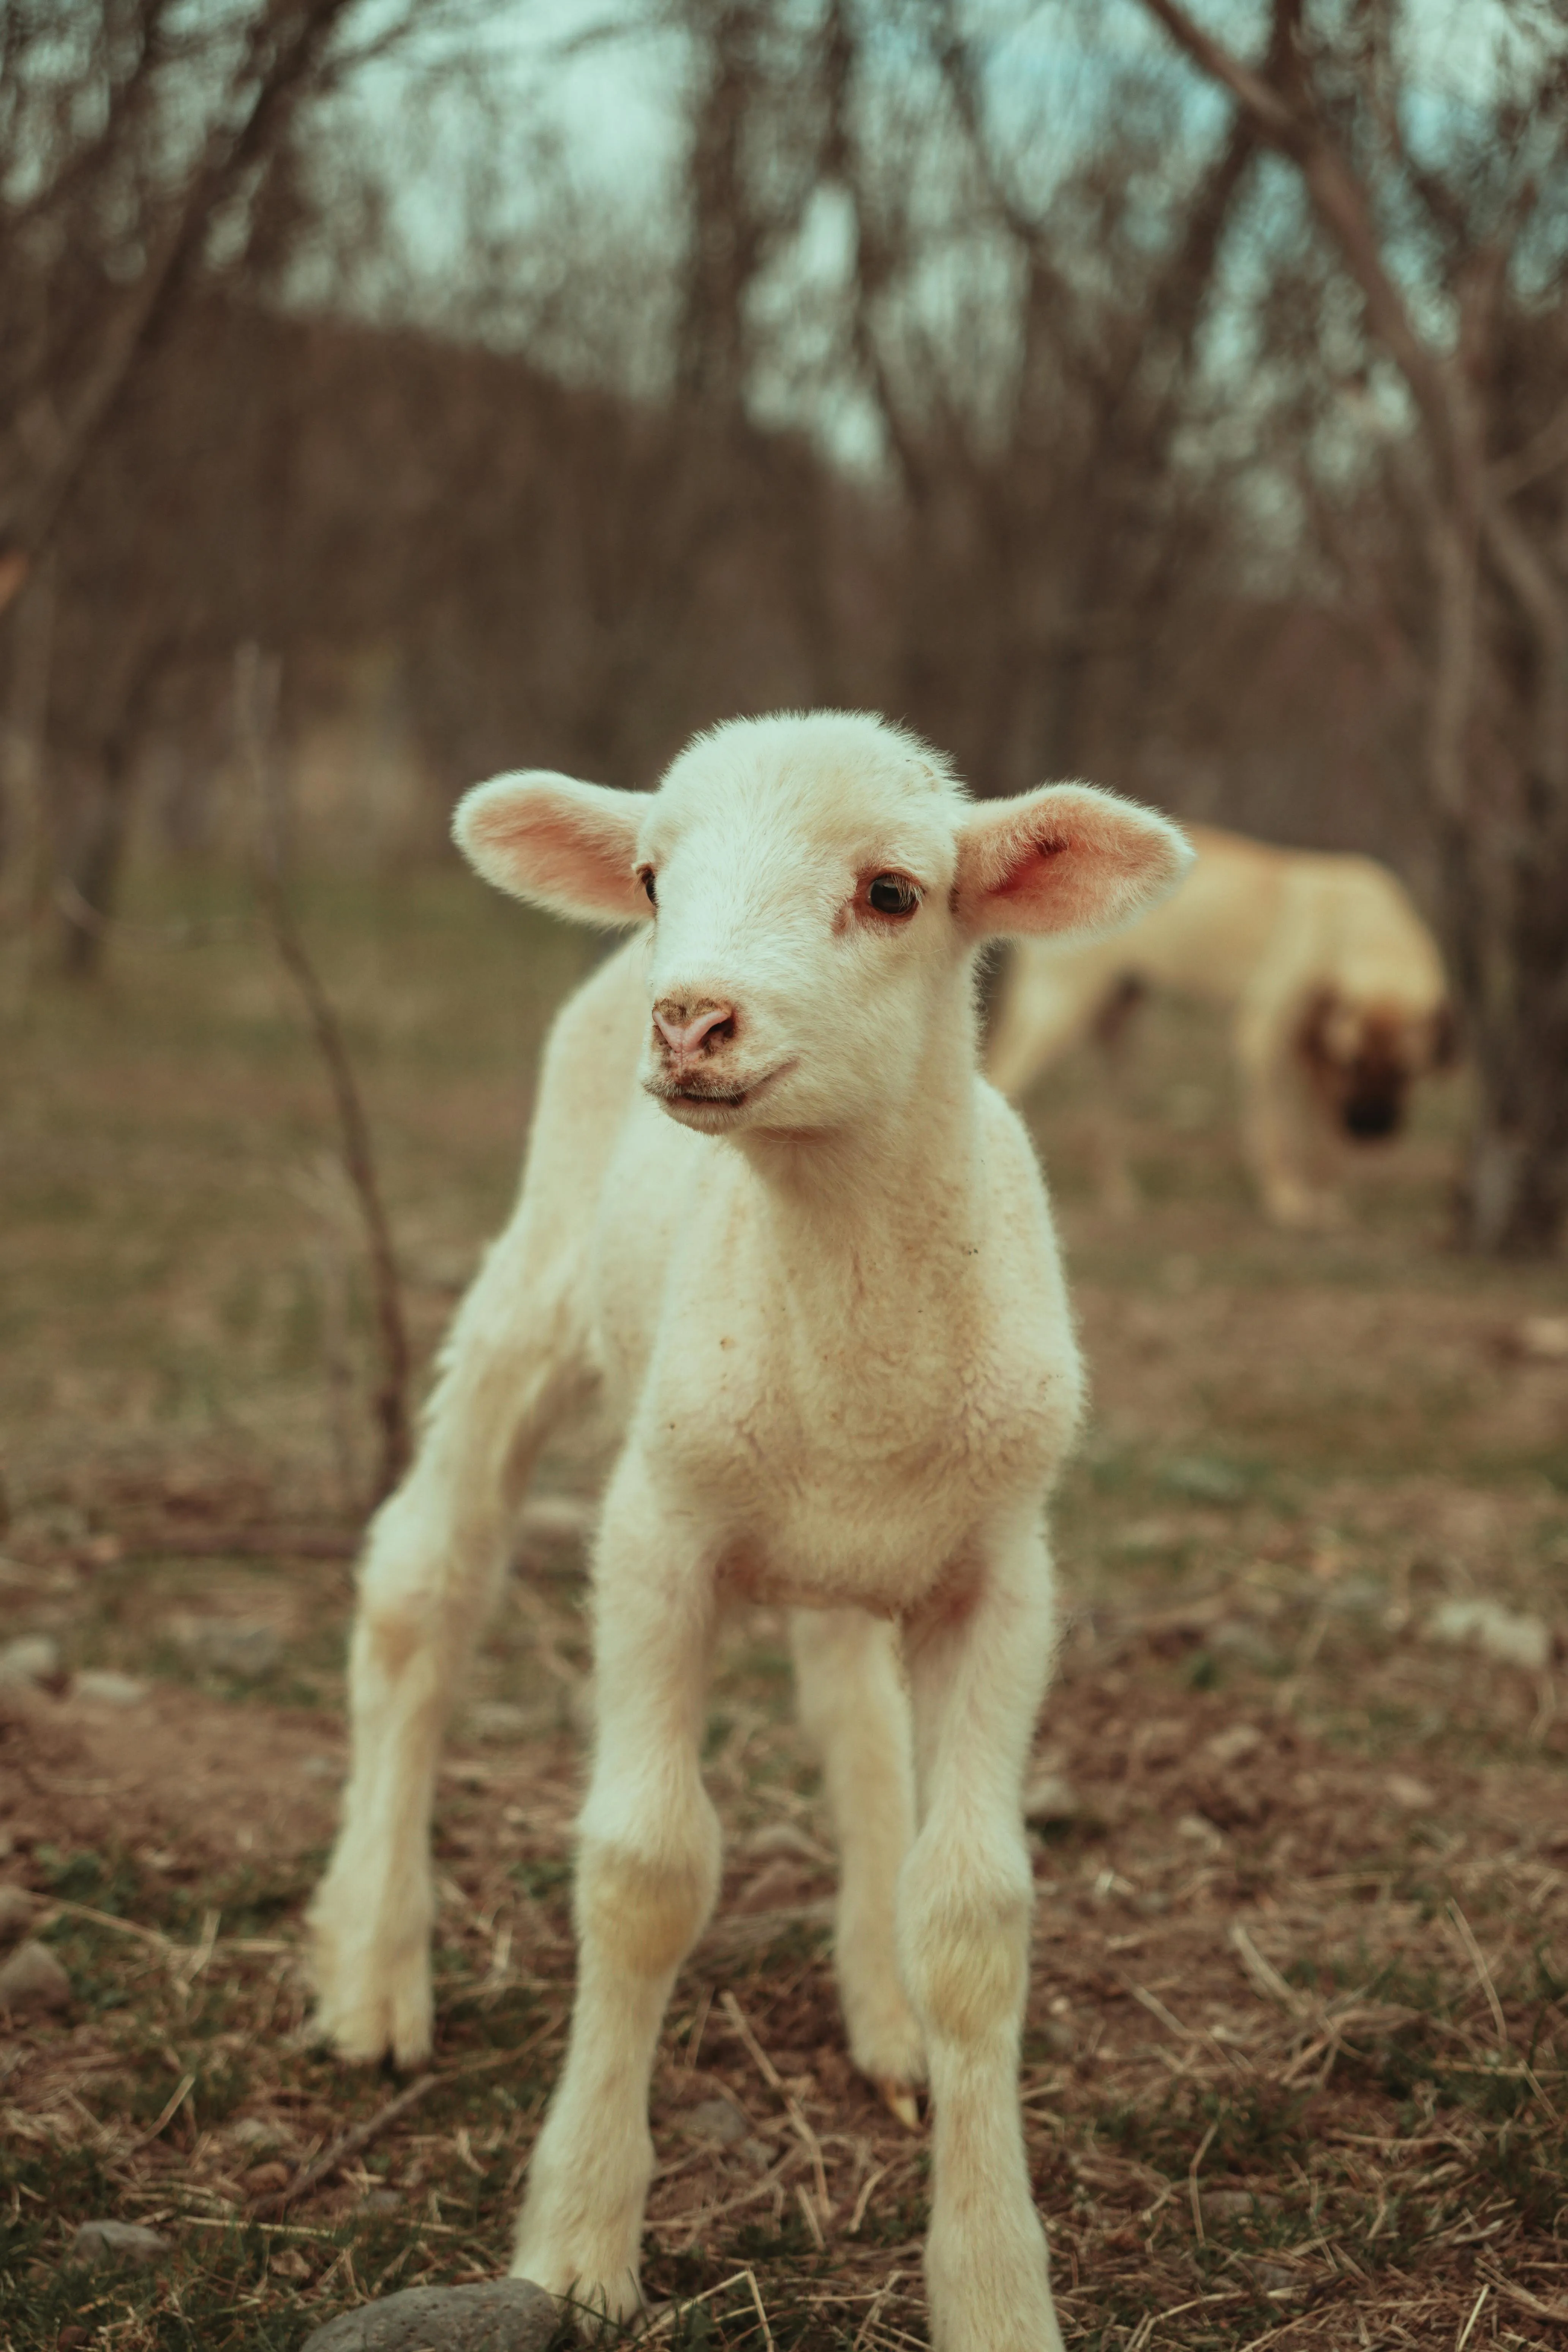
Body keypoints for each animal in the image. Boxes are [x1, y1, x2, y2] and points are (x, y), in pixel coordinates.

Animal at [308, 711, 1191, 2352]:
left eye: (895, 893)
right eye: (657, 875)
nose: (692, 1023)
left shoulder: (1001, 1575)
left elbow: (975, 1917)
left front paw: (994, 2286)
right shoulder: (657, 1536)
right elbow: (645, 1872)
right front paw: (579, 2243)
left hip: (845, 1547)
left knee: (852, 1722)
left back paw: (881, 2018)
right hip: (535, 1289)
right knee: (421, 1586)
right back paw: (373, 1975)